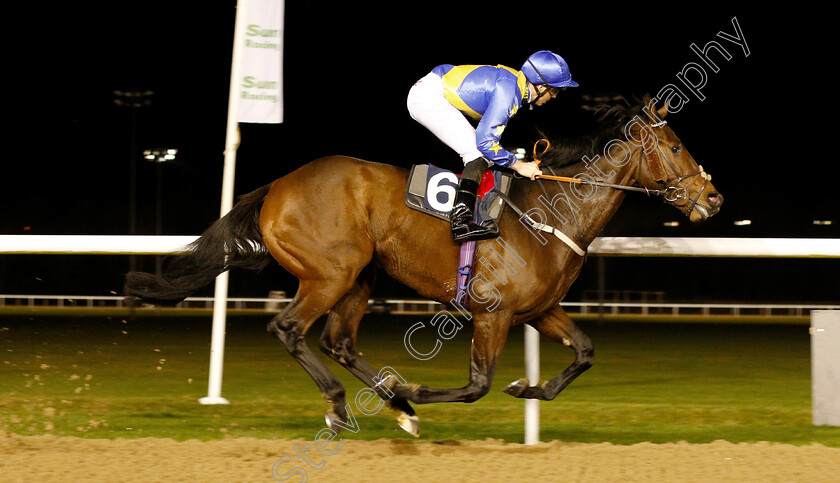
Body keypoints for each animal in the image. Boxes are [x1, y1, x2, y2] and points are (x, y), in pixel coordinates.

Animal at [123, 96, 720, 436]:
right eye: (673, 146)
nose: (712, 199)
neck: (551, 212)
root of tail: (277, 186)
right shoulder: (492, 312)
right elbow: (477, 384)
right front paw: (419, 390)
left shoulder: (538, 310)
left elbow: (586, 352)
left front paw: (528, 391)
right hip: (330, 273)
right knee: (289, 328)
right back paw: (346, 404)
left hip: (360, 276)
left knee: (339, 341)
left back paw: (396, 405)